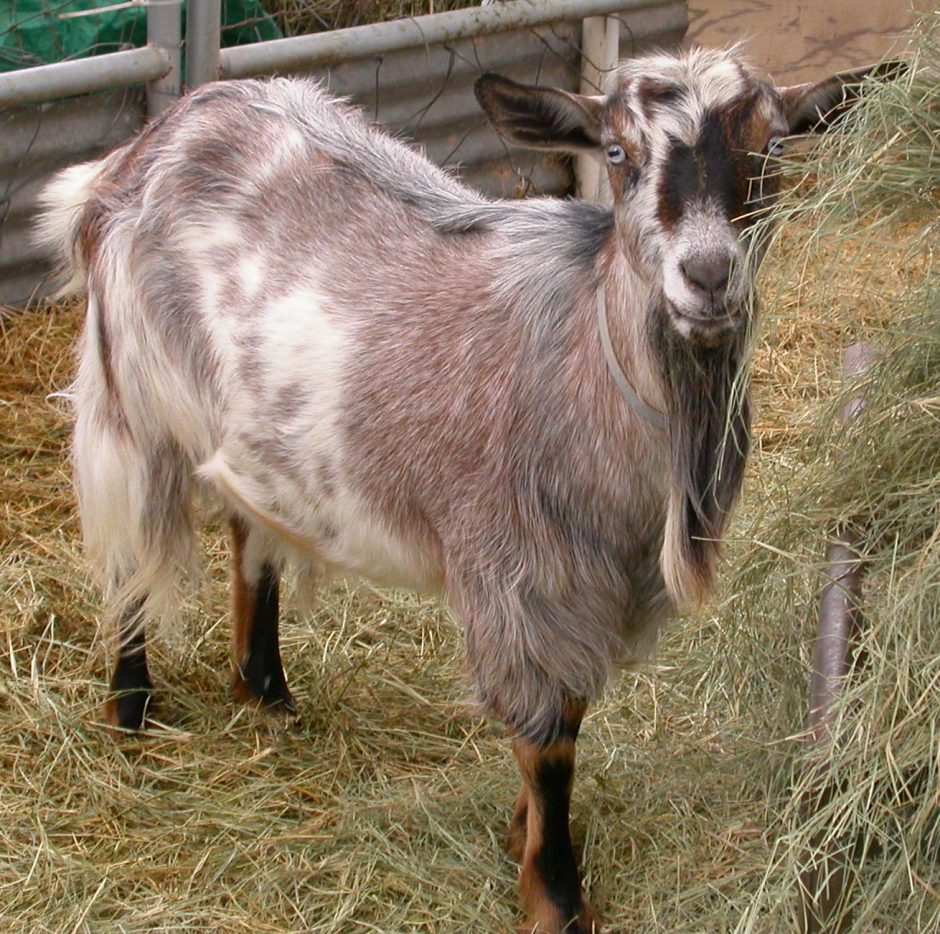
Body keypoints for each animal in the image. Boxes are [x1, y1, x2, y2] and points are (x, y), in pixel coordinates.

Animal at [38, 47, 886, 932]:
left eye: (773, 146)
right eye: (617, 153)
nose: (709, 276)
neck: (590, 359)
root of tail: (160, 134)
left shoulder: (590, 591)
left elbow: (566, 723)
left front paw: (521, 835)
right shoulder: (520, 577)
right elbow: (548, 743)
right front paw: (555, 895)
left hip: (248, 424)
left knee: (249, 529)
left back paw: (265, 688)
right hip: (130, 402)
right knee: (130, 557)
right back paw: (130, 712)